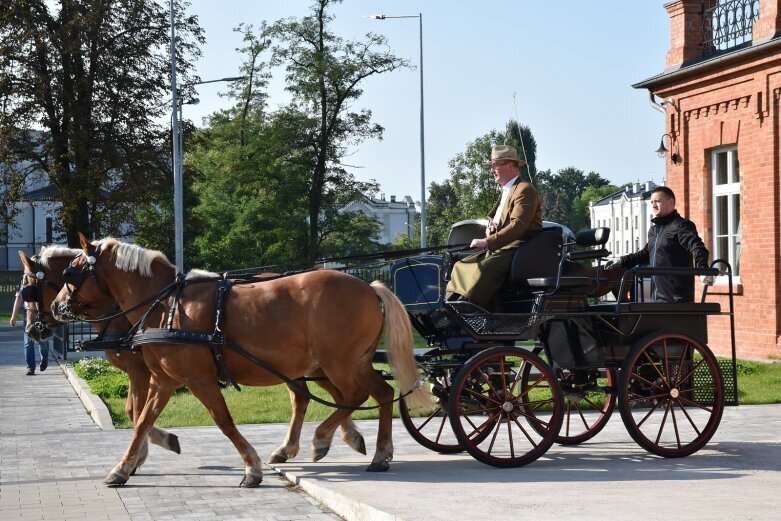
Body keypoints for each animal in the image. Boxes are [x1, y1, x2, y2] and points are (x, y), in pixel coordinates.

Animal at [53, 234, 432, 486]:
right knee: (379, 394)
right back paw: (375, 452)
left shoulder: (198, 379)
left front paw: (252, 467)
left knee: (356, 396)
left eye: (71, 272)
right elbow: (143, 419)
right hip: (343, 364)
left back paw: (324, 439)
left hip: (340, 364)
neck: (168, 305)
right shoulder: (165, 379)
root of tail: (369, 287)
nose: (57, 307)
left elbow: (222, 420)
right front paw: (124, 467)